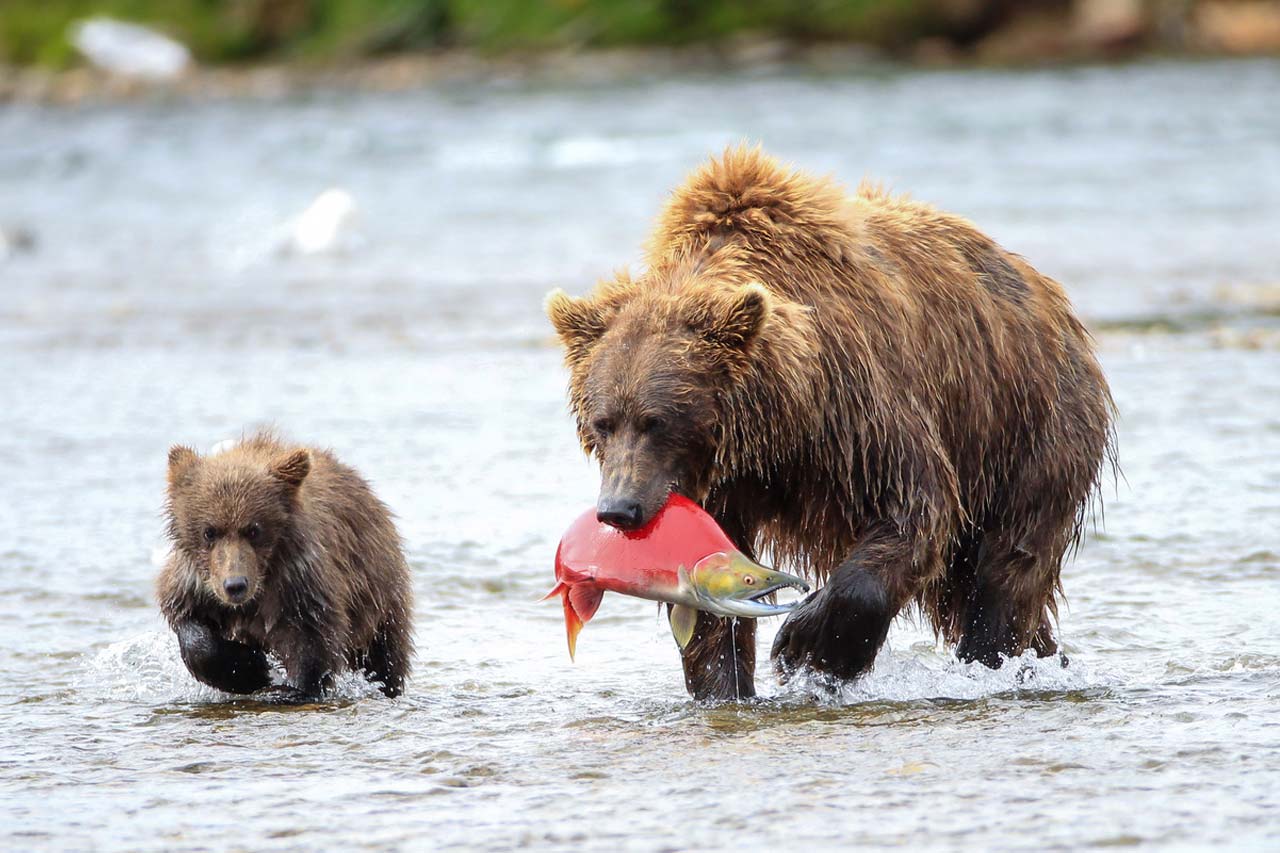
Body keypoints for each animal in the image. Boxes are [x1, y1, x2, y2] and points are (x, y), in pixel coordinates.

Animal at [157, 431, 414, 699]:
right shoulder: (195, 584)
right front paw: (250, 669)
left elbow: (314, 636)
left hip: (380, 597)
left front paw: (289, 688)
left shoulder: (300, 581)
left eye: (254, 529)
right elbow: (187, 620)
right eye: (209, 532)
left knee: (384, 656)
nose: (235, 585)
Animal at [545, 146, 1114, 701]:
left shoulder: (857, 411)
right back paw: (1045, 659)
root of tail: (1048, 294)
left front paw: (807, 646)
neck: (775, 425)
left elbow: (915, 509)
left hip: (1029, 425)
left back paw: (997, 662)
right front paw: (724, 687)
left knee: (1005, 570)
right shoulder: (722, 482)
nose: (619, 509)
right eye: (602, 422)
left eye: (656, 421)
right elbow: (714, 592)